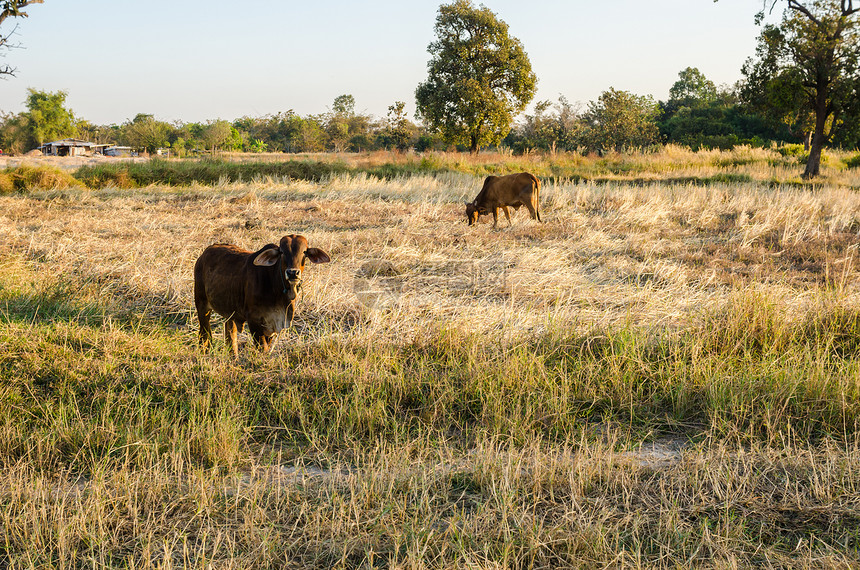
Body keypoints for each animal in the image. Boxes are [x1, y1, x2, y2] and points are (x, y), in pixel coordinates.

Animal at [193, 233, 330, 352]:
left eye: (305, 252)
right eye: (282, 252)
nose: (292, 273)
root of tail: (205, 253)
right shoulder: (254, 321)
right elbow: (262, 349)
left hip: (230, 311)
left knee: (230, 334)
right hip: (202, 305)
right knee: (204, 335)